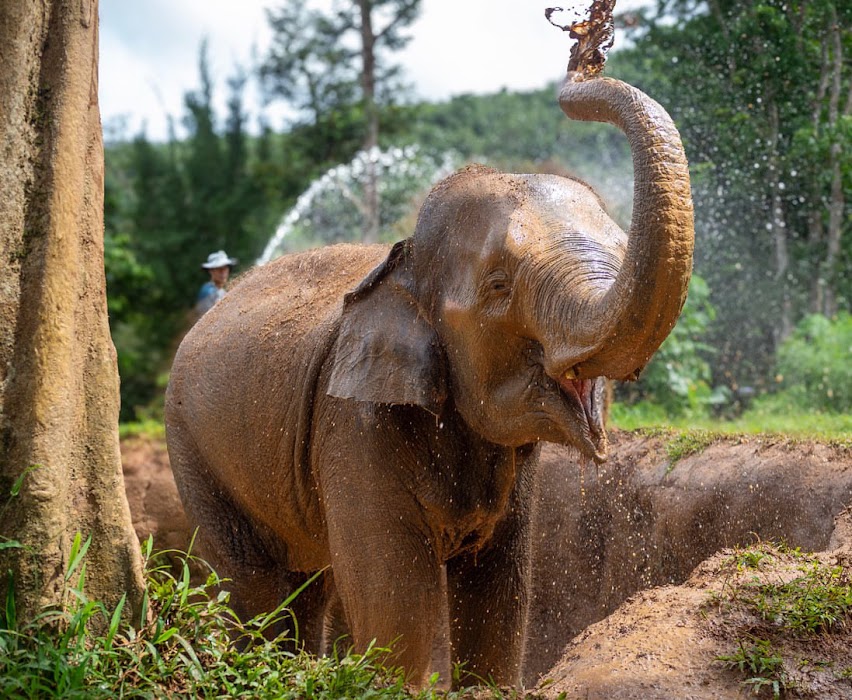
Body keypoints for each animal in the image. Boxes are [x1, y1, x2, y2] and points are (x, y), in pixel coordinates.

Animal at [164, 71, 694, 687]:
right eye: (498, 286)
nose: (577, 71)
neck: (406, 262)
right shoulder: (353, 419)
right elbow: (398, 608)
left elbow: (500, 594)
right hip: (195, 451)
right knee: (256, 589)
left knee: (309, 587)